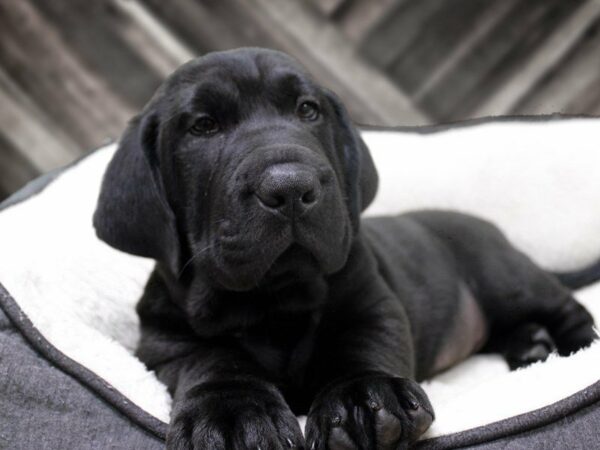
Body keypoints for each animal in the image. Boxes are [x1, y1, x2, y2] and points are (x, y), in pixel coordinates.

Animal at [94, 47, 596, 448]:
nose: (290, 187)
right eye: (202, 126)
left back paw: (575, 346)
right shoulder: (163, 341)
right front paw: (231, 412)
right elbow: (211, 361)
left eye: (308, 110)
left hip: (503, 277)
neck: (275, 300)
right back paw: (529, 345)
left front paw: (363, 397)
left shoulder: (374, 303)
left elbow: (359, 346)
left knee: (564, 307)